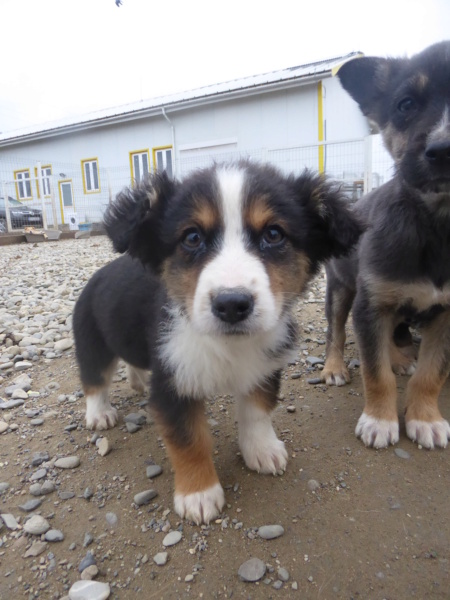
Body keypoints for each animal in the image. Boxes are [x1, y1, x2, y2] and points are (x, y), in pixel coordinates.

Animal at [74, 162, 362, 524]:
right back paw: (100, 413)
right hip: (92, 341)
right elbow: (188, 440)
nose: (232, 305)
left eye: (274, 234)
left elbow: (257, 411)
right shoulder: (173, 380)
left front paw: (262, 450)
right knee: (95, 379)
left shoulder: (263, 366)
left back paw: (138, 381)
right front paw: (199, 493)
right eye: (192, 237)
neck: (228, 345)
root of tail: (98, 275)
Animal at [322, 42, 450, 450]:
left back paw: (398, 357)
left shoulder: (447, 315)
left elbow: (432, 373)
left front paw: (425, 418)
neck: (437, 226)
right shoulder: (370, 304)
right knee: (336, 333)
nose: (444, 151)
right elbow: (375, 372)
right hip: (342, 289)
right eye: (405, 104)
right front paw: (380, 420)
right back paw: (333, 367)